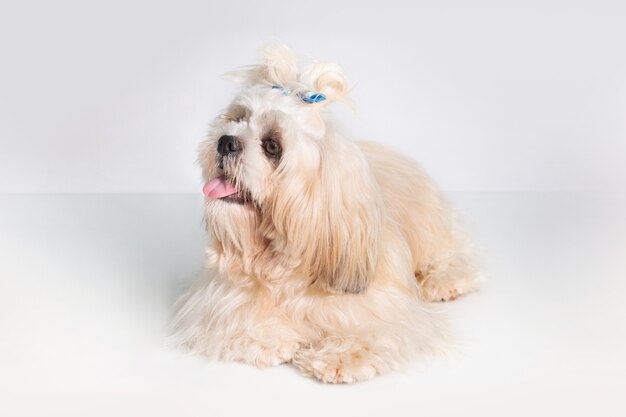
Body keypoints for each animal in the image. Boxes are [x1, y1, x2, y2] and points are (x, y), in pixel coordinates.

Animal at [173, 44, 480, 382]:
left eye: (272, 146)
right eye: (238, 118)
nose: (225, 141)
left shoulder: (383, 308)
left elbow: (370, 332)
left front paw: (338, 358)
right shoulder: (217, 302)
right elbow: (240, 321)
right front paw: (271, 340)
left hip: (431, 227)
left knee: (448, 253)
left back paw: (445, 280)